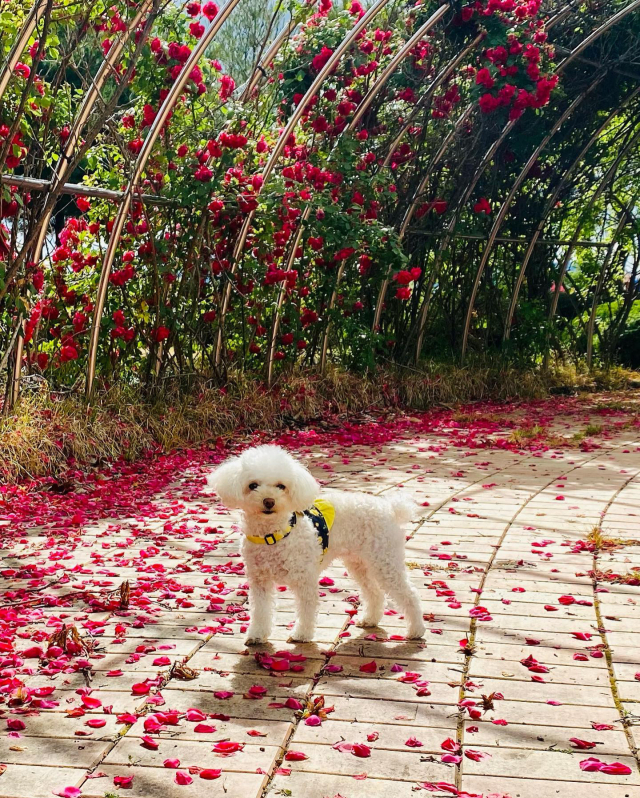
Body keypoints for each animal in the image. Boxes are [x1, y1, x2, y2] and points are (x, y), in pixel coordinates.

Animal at [206, 446, 424, 648]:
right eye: (253, 485)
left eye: (281, 486)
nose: (269, 501)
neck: (273, 535)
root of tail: (390, 508)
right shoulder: (260, 580)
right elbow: (260, 610)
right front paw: (257, 635)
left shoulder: (304, 580)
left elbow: (306, 609)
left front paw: (301, 635)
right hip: (359, 563)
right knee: (374, 592)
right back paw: (370, 619)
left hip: (385, 560)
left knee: (410, 595)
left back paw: (416, 630)